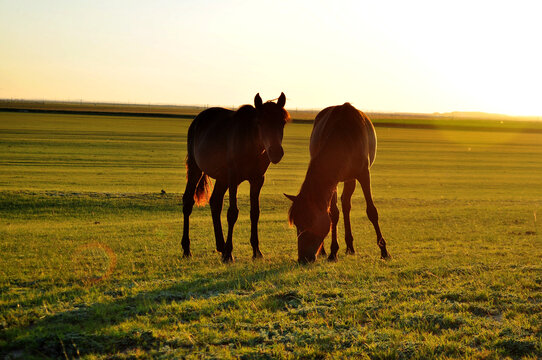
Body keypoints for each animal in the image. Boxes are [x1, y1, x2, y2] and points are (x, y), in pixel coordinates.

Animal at [183, 93, 292, 262]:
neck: (251, 145)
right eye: (260, 122)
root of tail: (197, 120)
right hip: (196, 169)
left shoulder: (257, 180)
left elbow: (255, 213)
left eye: (282, 122)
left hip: (222, 178)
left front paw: (256, 251)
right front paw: (229, 254)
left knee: (215, 202)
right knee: (188, 202)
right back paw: (187, 249)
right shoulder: (233, 178)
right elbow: (232, 213)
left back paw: (220, 246)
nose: (275, 152)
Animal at [284, 102, 392, 262]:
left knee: (346, 204)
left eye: (310, 222)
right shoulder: (332, 180)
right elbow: (333, 214)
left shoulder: (363, 174)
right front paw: (332, 252)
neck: (343, 139)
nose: (303, 258)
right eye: (297, 223)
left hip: (350, 178)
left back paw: (350, 247)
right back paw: (326, 250)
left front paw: (384, 251)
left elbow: (372, 211)